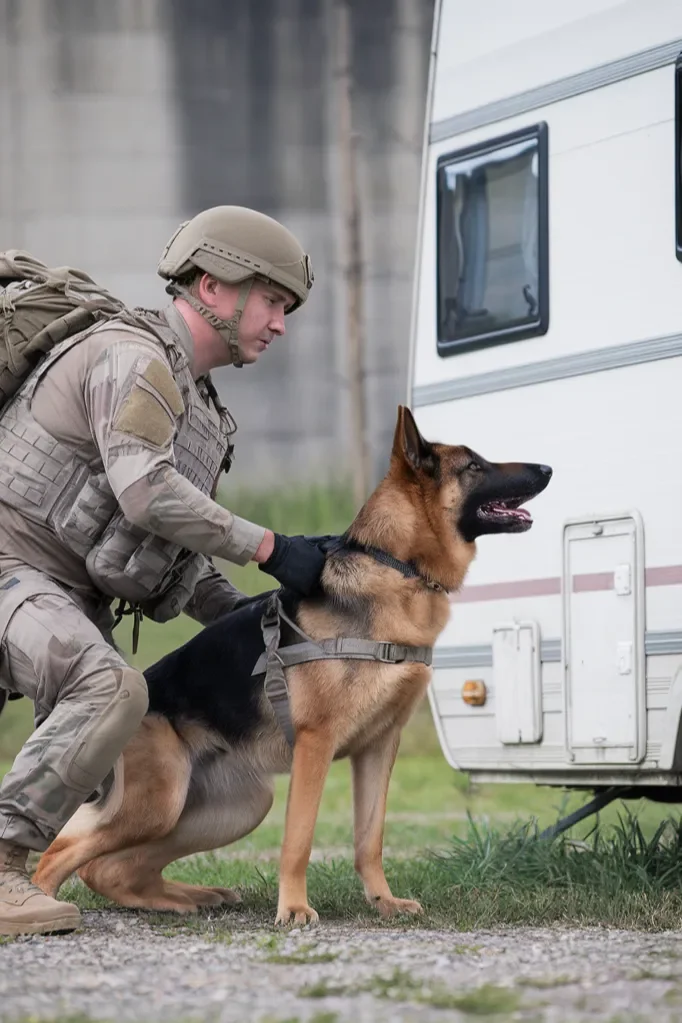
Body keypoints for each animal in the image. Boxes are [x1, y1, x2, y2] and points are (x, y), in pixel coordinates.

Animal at [33, 409, 556, 928]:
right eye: (474, 467)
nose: (548, 468)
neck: (393, 564)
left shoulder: (379, 748)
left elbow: (370, 838)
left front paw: (383, 901)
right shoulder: (315, 744)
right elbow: (299, 841)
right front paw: (295, 908)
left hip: (231, 808)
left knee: (114, 868)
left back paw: (187, 898)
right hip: (159, 802)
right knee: (63, 854)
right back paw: (43, 905)